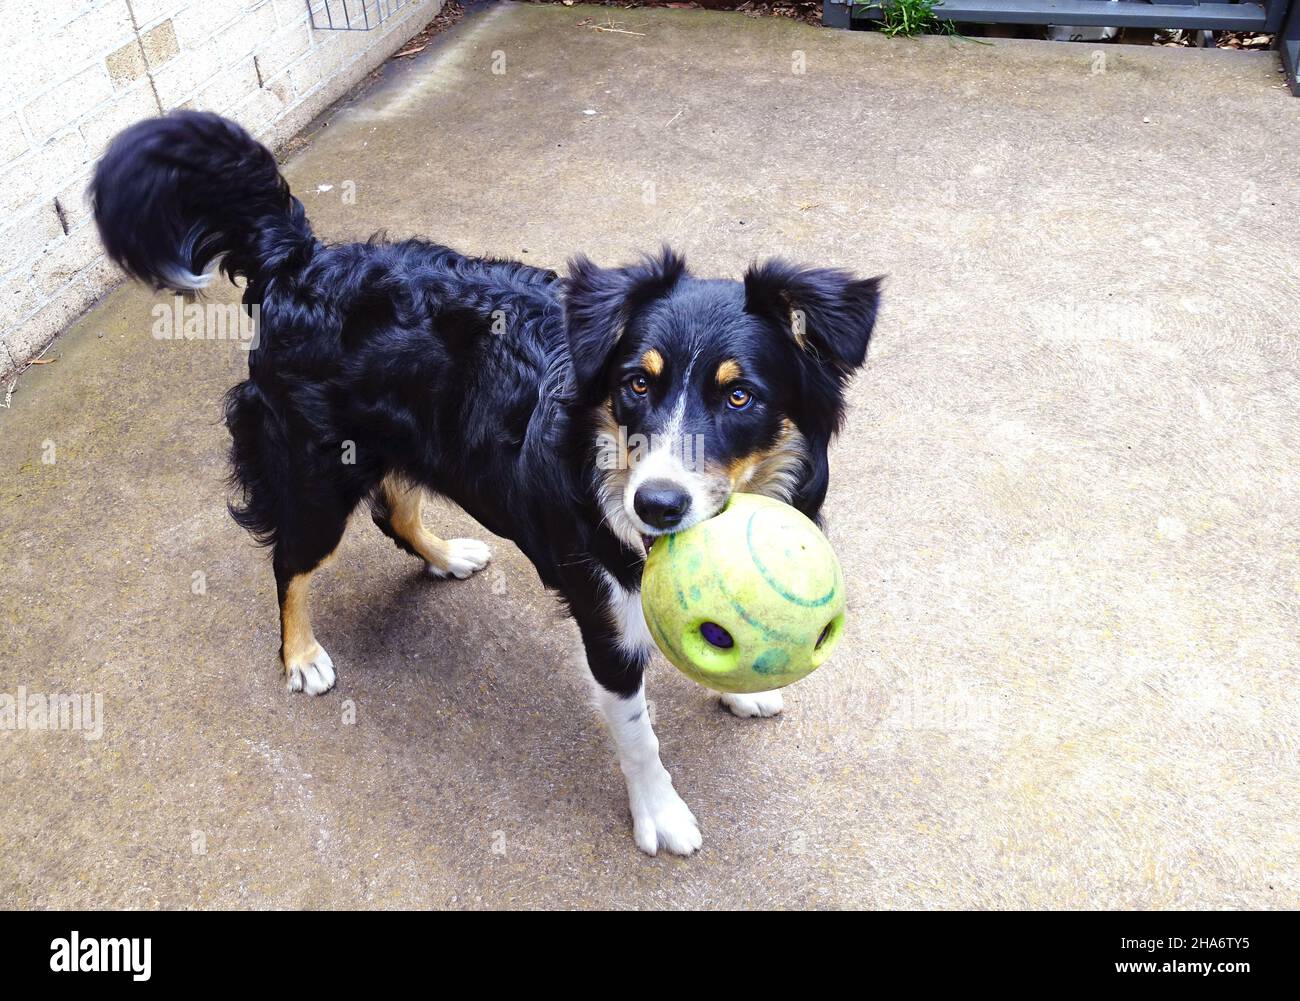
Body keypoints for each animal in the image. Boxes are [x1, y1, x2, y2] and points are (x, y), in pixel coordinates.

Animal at [94, 113, 883, 852]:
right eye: (636, 383)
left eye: (740, 396)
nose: (656, 505)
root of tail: (304, 259)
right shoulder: (604, 617)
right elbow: (638, 733)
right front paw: (660, 814)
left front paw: (742, 694)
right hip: (316, 474)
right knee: (291, 561)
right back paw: (302, 655)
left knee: (393, 509)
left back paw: (446, 556)